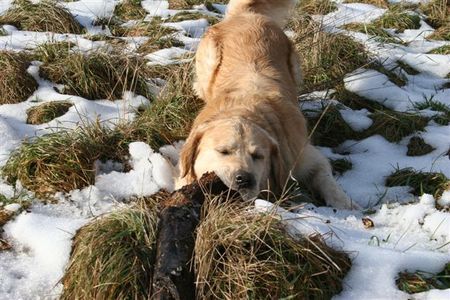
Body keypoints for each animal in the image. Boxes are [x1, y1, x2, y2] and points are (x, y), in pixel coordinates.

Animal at [176, 0, 358, 210]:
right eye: (223, 151)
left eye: (258, 156)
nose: (244, 179)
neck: (245, 110)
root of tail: (248, 15)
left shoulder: (302, 154)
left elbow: (324, 175)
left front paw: (343, 201)